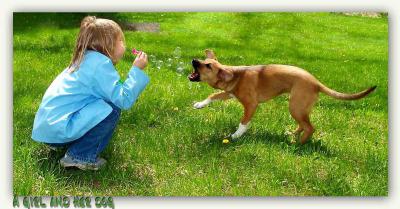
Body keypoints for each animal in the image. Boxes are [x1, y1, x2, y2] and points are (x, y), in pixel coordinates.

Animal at [188, 49, 376, 144]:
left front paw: (235, 136)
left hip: (295, 106)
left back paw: (297, 144)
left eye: (208, 66)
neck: (235, 75)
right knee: (303, 125)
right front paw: (200, 104)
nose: (194, 60)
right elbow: (213, 94)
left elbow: (244, 122)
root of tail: (316, 82)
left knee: (310, 128)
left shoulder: (251, 104)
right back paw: (292, 134)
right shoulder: (229, 93)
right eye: (203, 61)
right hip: (299, 108)